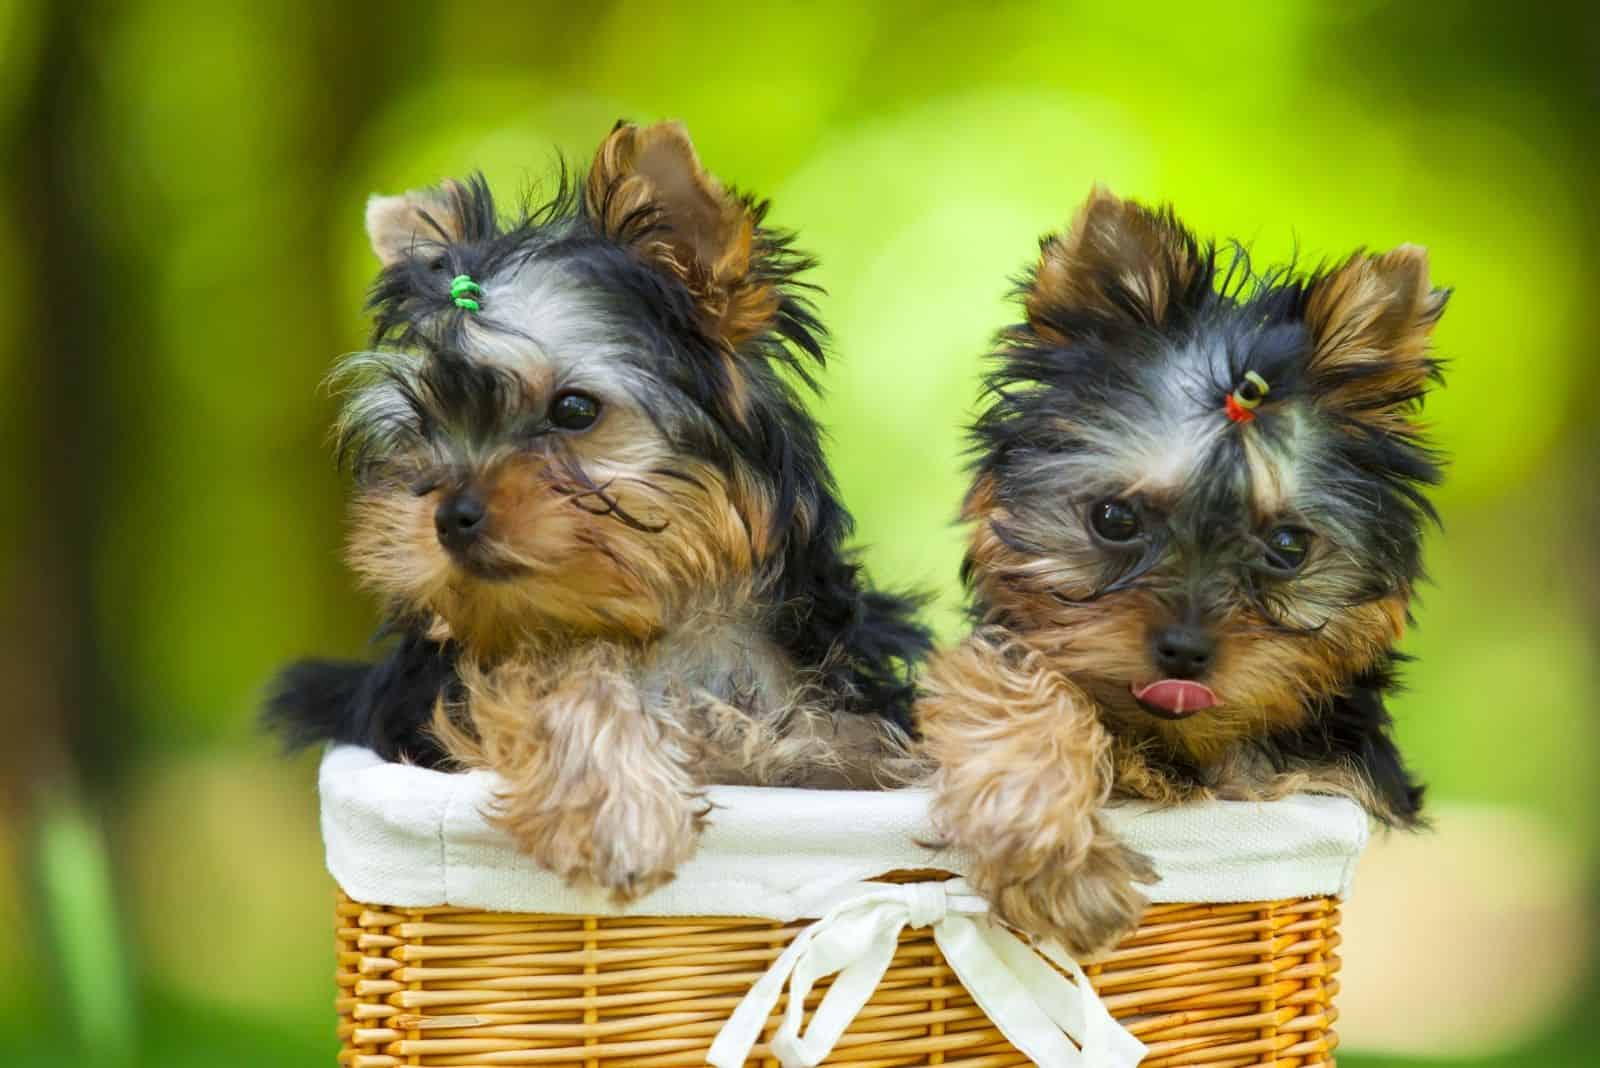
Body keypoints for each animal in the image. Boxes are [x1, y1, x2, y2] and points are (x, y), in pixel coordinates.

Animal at [268, 120, 934, 895]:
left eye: (574, 410)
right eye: (424, 427)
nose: (449, 516)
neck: (657, 626)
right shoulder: (424, 710)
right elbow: (550, 679)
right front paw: (621, 816)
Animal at [915, 187, 1452, 952]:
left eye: (1288, 546)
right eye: (1115, 518)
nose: (1185, 651)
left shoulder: (1312, 774)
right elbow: (1005, 682)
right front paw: (1063, 867)